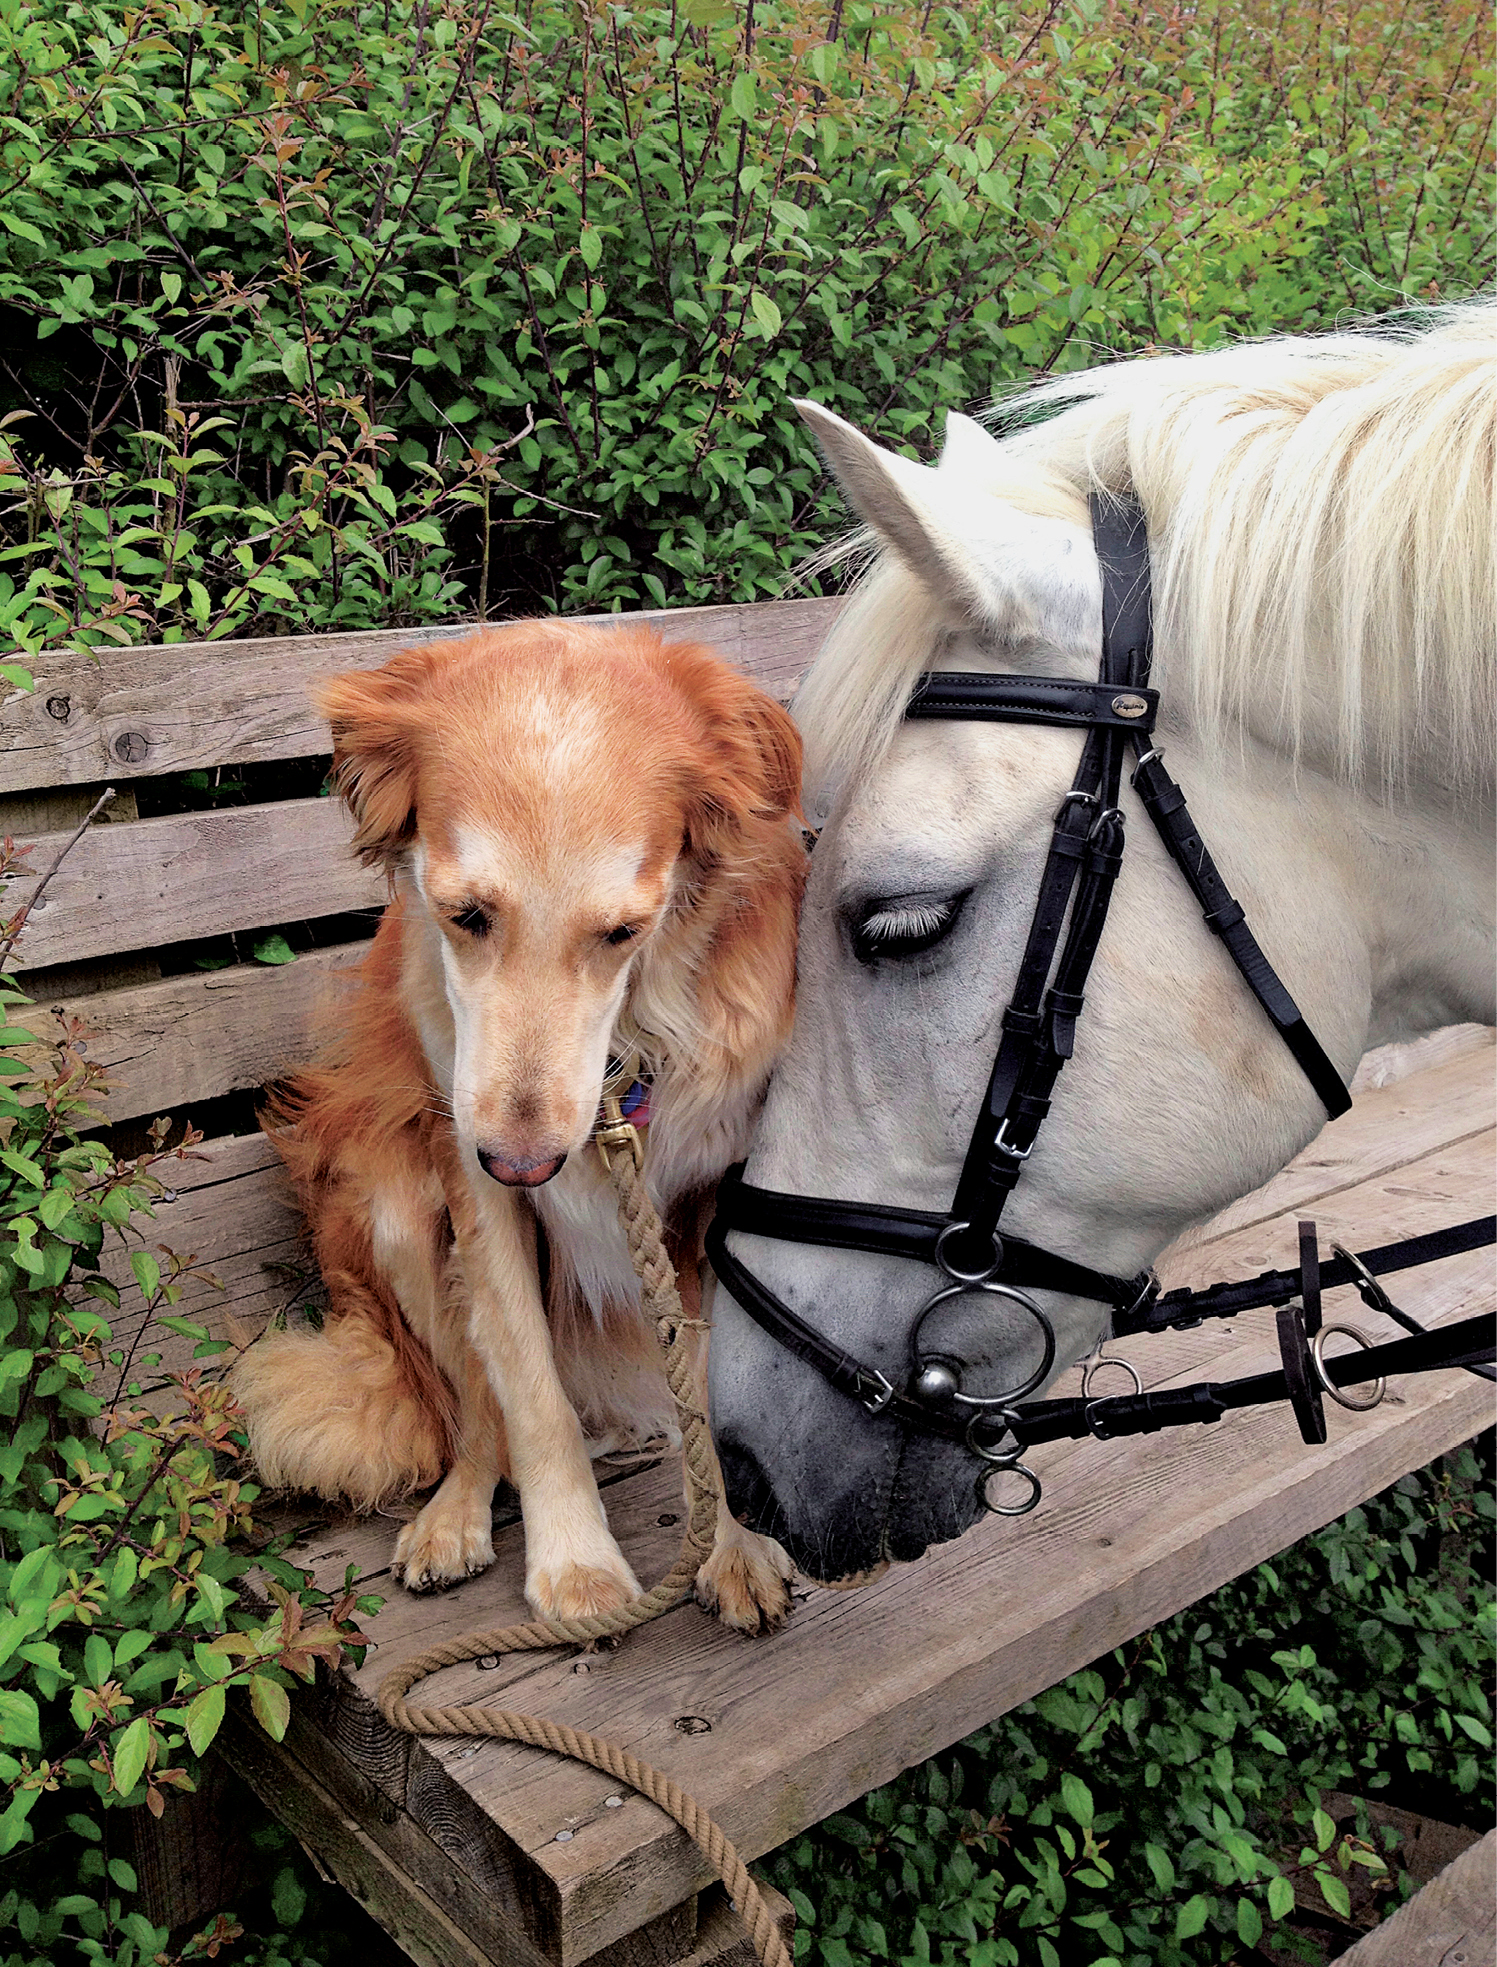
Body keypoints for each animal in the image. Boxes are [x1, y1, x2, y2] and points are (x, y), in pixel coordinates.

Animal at [236, 617, 806, 1628]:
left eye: (623, 931)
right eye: (463, 914)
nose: (524, 1164)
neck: (631, 1039)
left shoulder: (712, 1200)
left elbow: (712, 1386)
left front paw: (732, 1542)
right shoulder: (477, 1190)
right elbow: (530, 1399)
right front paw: (576, 1564)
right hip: (400, 1212)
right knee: (480, 1412)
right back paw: (454, 1515)